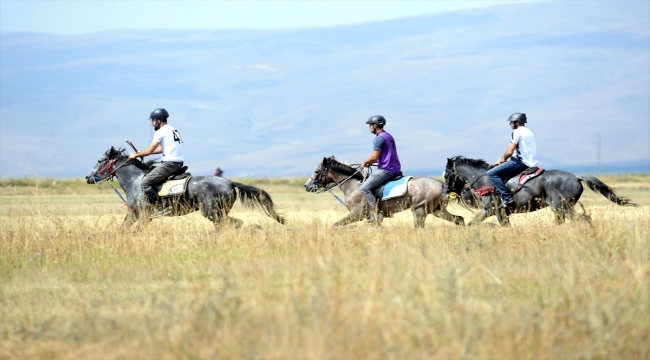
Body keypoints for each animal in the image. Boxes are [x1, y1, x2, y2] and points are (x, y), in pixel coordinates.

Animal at [85, 147, 284, 229]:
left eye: (100, 160)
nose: (88, 177)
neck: (135, 181)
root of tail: (229, 182)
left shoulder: (144, 216)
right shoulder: (133, 214)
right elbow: (123, 229)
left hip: (211, 212)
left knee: (233, 224)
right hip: (218, 212)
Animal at [302, 156, 460, 226]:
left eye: (316, 171)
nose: (306, 186)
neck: (353, 185)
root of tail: (442, 185)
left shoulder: (356, 214)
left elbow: (335, 225)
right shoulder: (374, 219)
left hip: (420, 210)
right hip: (437, 210)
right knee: (459, 219)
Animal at [442, 155, 636, 225]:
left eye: (446, 174)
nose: (446, 191)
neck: (485, 179)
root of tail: (576, 177)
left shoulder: (492, 210)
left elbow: (473, 223)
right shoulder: (499, 212)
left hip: (562, 207)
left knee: (583, 219)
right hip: (561, 210)